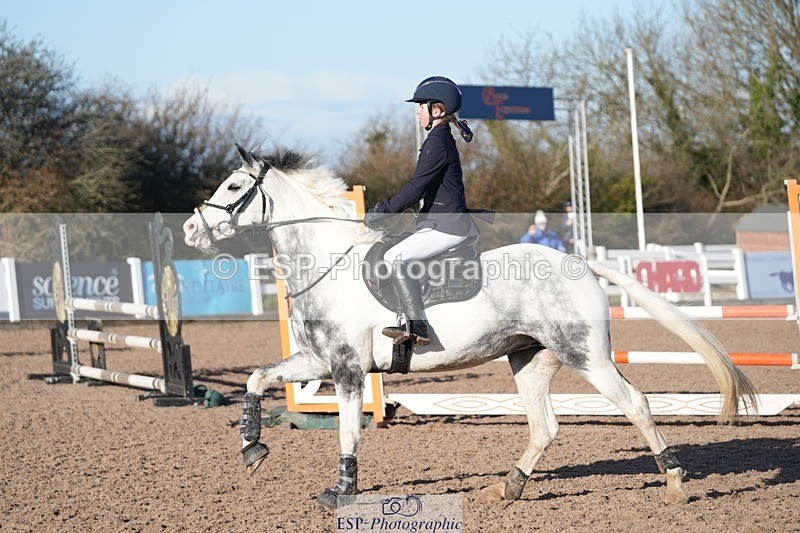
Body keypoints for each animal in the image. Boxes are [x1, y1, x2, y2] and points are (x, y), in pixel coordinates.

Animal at [182, 144, 758, 509]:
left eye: (234, 185)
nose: (190, 228)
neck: (329, 261)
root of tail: (578, 261)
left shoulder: (346, 368)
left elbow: (347, 430)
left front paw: (341, 492)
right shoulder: (315, 361)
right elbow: (256, 378)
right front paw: (252, 449)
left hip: (585, 355)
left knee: (635, 403)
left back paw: (676, 484)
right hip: (529, 359)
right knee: (545, 426)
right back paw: (509, 488)